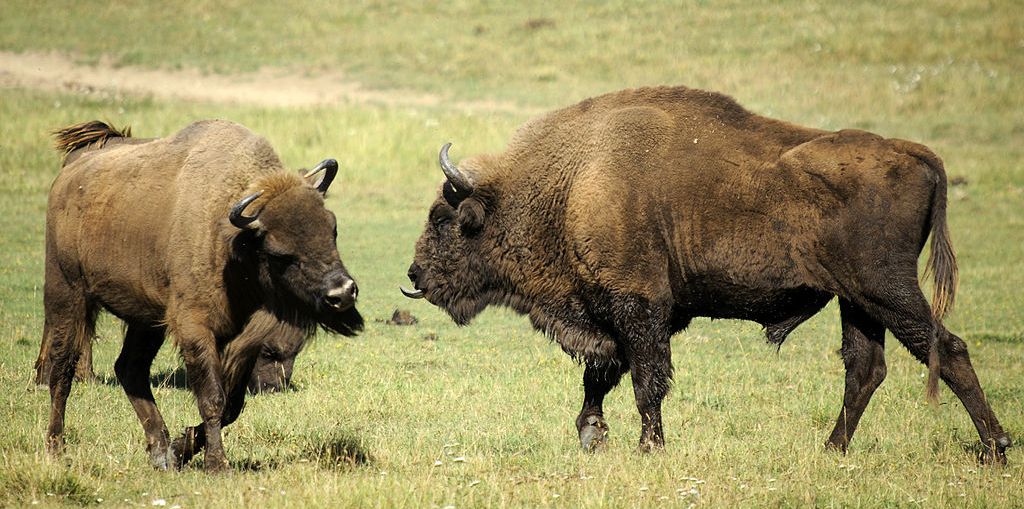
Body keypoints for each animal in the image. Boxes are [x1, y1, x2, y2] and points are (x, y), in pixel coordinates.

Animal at [43, 120, 363, 471]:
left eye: (332, 227)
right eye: (280, 254)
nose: (342, 293)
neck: (233, 241)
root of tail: (67, 177)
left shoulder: (241, 339)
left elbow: (233, 405)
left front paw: (179, 449)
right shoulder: (195, 328)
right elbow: (213, 398)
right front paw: (217, 464)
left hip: (146, 319)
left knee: (130, 369)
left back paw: (160, 452)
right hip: (67, 295)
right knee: (62, 369)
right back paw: (56, 449)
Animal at [404, 85, 1011, 463]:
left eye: (444, 218)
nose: (415, 275)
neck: (571, 183)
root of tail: (916, 154)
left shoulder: (639, 306)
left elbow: (647, 380)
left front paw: (649, 447)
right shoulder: (624, 314)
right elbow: (603, 374)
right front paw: (592, 435)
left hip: (886, 290)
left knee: (946, 349)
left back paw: (996, 450)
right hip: (856, 301)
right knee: (865, 368)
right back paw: (831, 450)